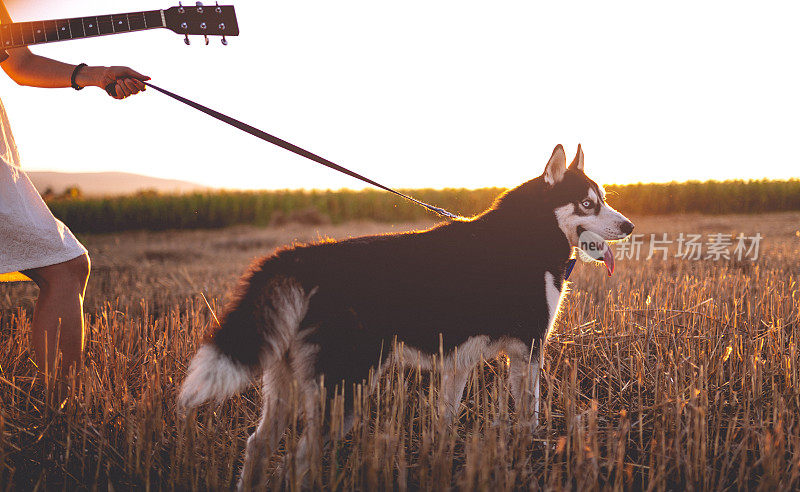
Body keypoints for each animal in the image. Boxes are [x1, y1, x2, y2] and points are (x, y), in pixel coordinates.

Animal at [178, 144, 636, 486]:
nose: (630, 226)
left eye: (604, 200)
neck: (527, 233)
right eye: (588, 204)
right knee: (294, 461)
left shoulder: (459, 362)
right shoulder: (529, 351)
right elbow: (531, 416)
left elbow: (445, 423)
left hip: (287, 388)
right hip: (343, 391)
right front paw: (532, 454)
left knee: (257, 446)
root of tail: (299, 257)